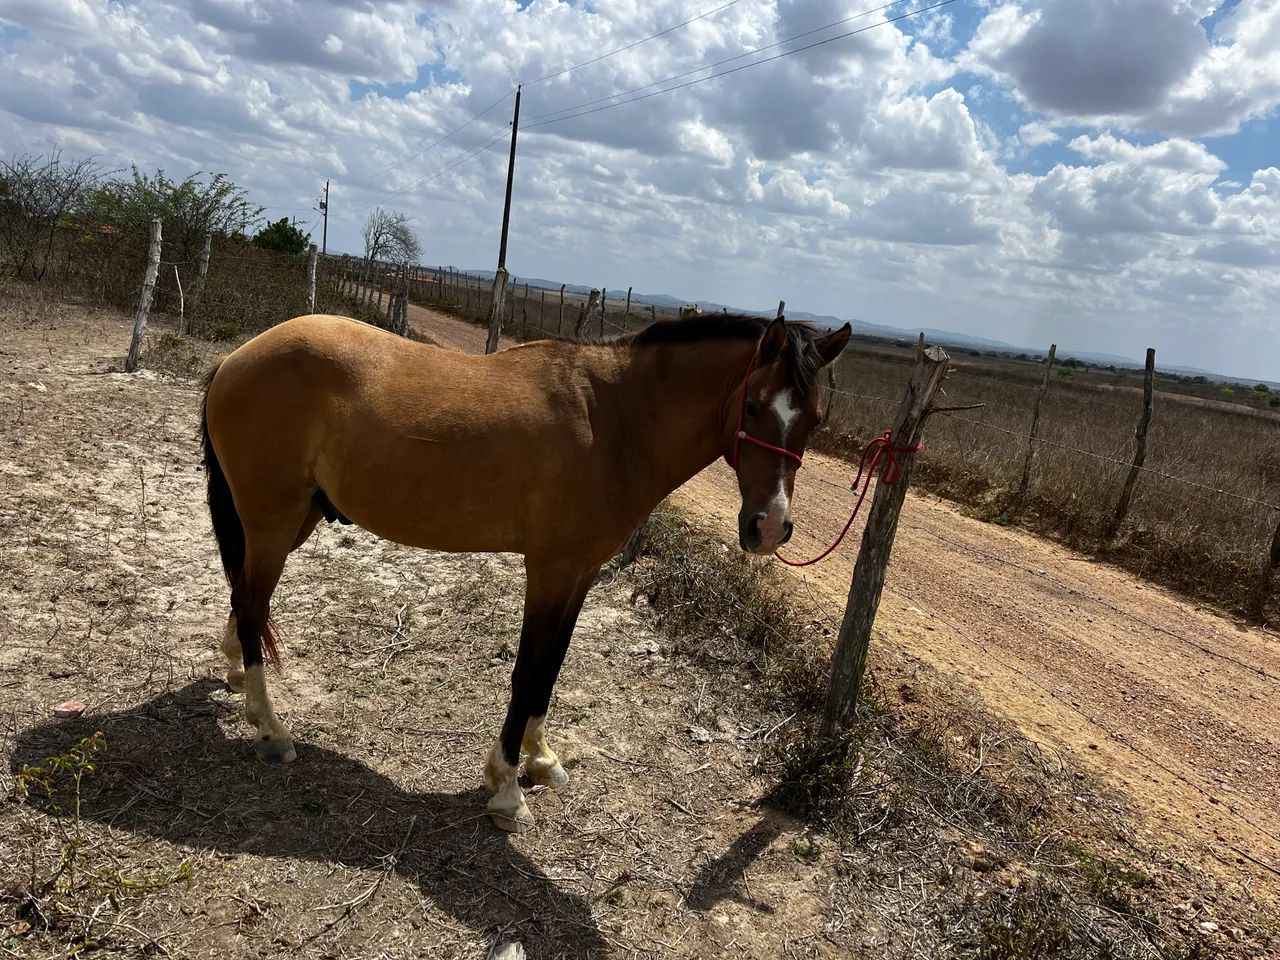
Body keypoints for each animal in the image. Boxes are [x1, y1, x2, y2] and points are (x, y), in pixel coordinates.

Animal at [200, 311, 851, 831]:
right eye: (753, 406)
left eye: (816, 419)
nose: (770, 527)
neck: (612, 418)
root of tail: (237, 359)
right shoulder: (551, 570)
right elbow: (528, 671)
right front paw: (508, 789)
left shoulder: (580, 573)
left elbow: (551, 670)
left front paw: (540, 760)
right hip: (273, 522)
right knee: (253, 606)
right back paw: (270, 732)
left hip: (295, 519)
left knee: (244, 599)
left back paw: (236, 677)